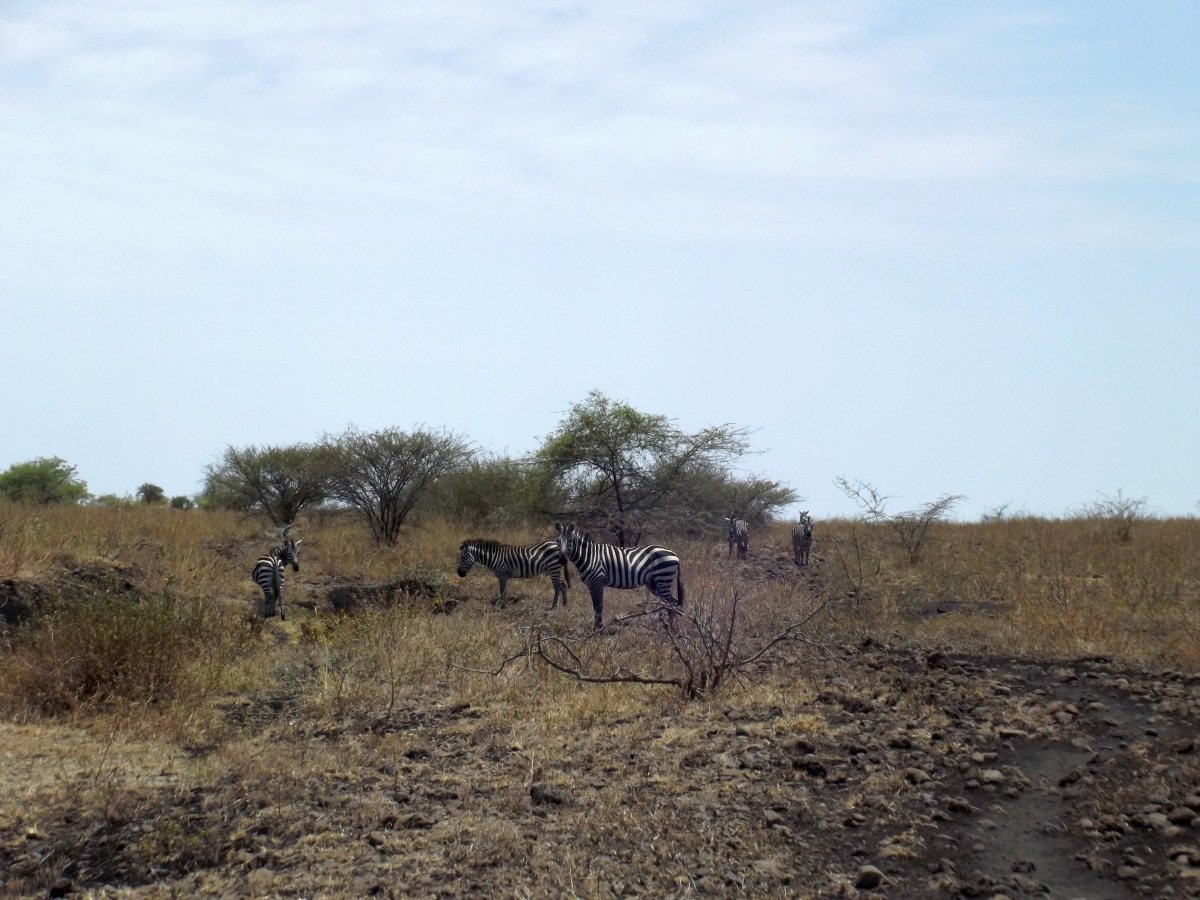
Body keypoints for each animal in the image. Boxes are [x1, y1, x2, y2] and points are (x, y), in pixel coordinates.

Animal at [552, 520, 686, 633]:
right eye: (557, 541)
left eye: (569, 541)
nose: (562, 560)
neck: (590, 557)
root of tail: (675, 554)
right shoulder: (591, 584)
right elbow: (595, 606)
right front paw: (595, 628)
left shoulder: (598, 581)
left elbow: (599, 606)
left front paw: (599, 629)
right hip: (654, 583)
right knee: (672, 602)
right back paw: (670, 627)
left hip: (662, 579)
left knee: (672, 604)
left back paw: (671, 630)